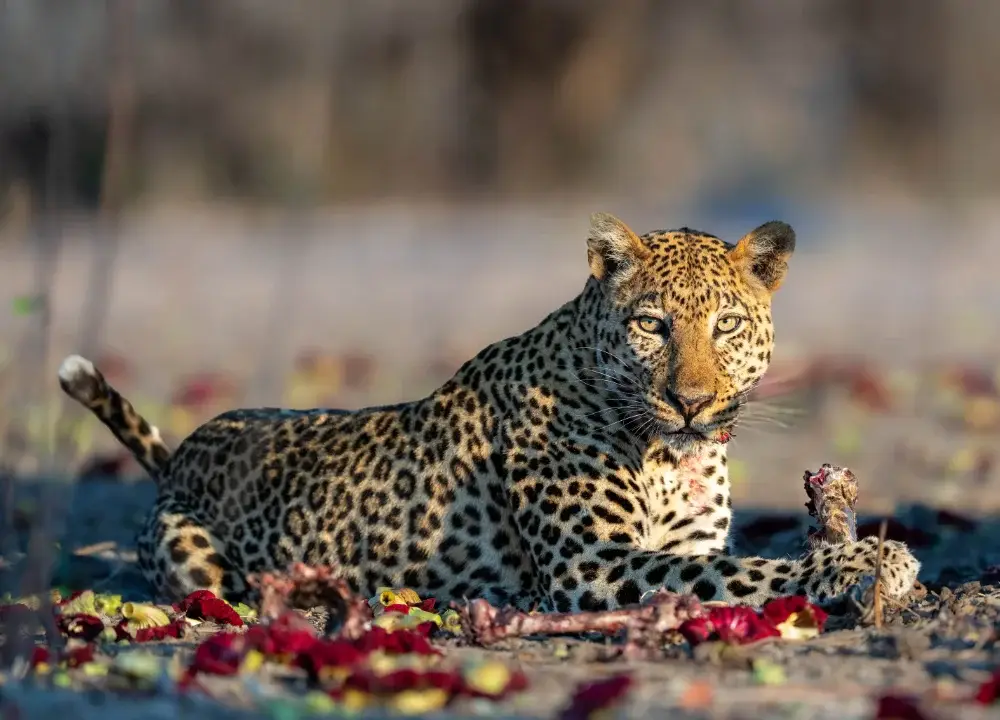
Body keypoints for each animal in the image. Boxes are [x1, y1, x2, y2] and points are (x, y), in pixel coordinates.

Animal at [57, 212, 920, 612]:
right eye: (652, 325)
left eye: (728, 326)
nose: (691, 401)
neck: (673, 458)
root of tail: (183, 455)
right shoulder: (591, 565)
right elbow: (746, 572)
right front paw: (868, 561)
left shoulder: (678, 543)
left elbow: (730, 562)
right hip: (192, 559)